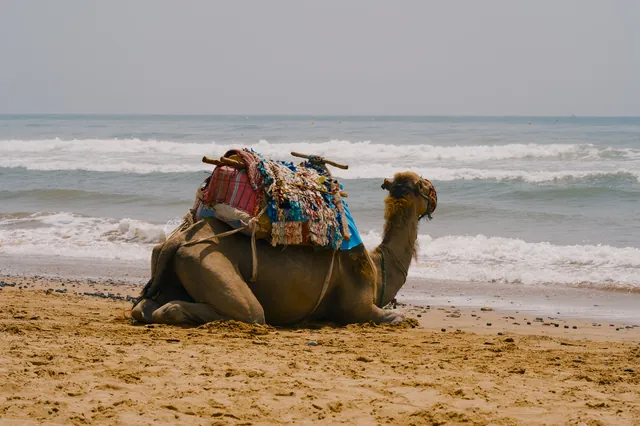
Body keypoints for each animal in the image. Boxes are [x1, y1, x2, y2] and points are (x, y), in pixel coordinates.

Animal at [131, 171, 437, 326]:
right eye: (424, 184)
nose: (435, 196)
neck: (376, 265)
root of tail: (178, 239)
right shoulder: (359, 307)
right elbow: (396, 317)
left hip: (170, 264)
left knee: (143, 307)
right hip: (206, 262)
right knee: (251, 313)